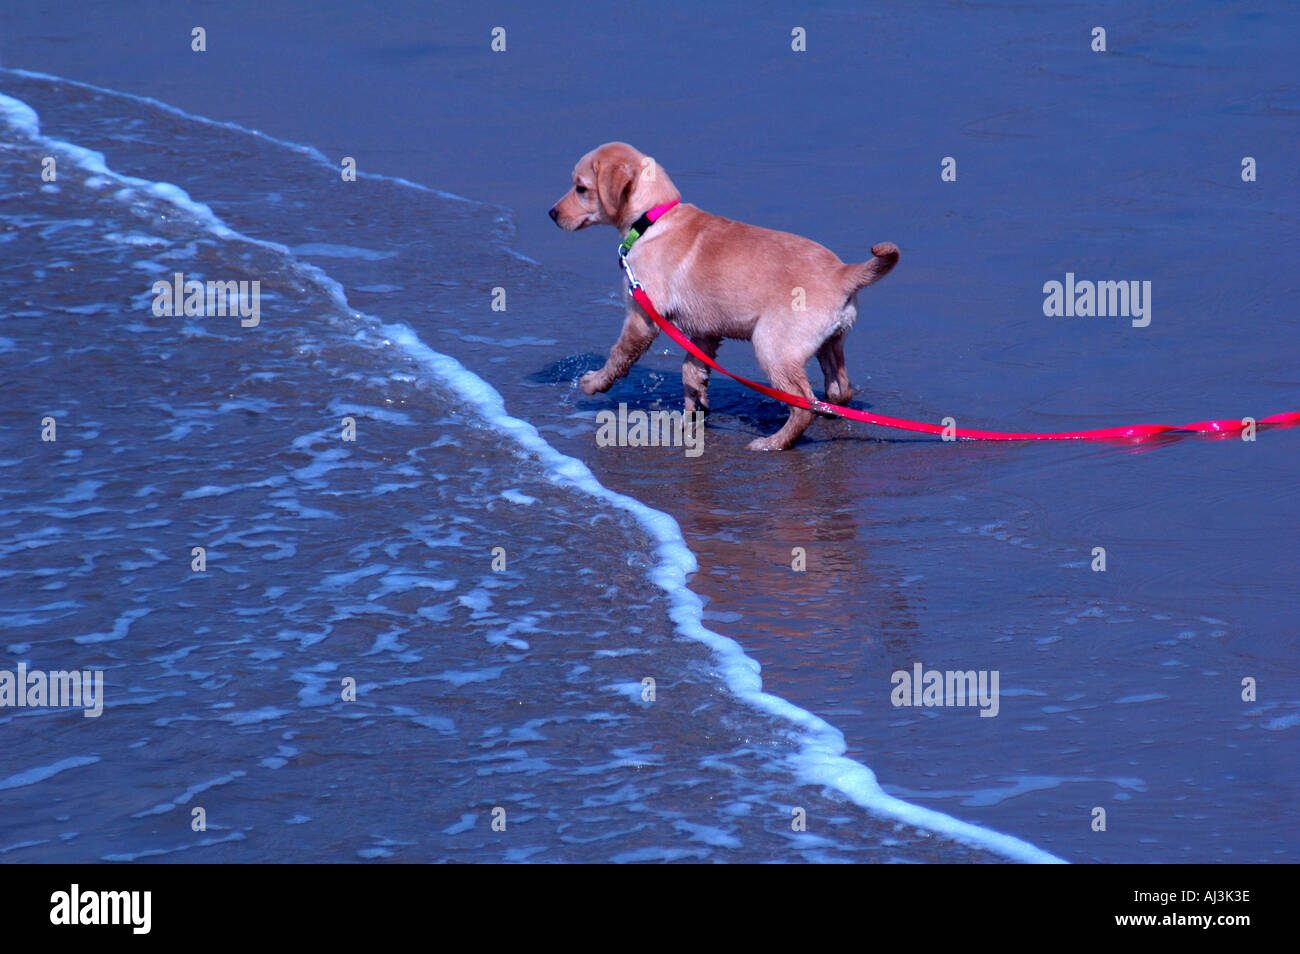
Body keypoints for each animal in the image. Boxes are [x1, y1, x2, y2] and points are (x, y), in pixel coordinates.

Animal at [546, 143, 894, 454]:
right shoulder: (705, 332)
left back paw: (773, 443)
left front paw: (594, 382)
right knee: (840, 389)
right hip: (828, 342)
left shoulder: (642, 319)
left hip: (772, 347)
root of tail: (842, 273)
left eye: (581, 188)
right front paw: (693, 413)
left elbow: (618, 355)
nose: (551, 213)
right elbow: (692, 371)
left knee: (802, 404)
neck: (654, 218)